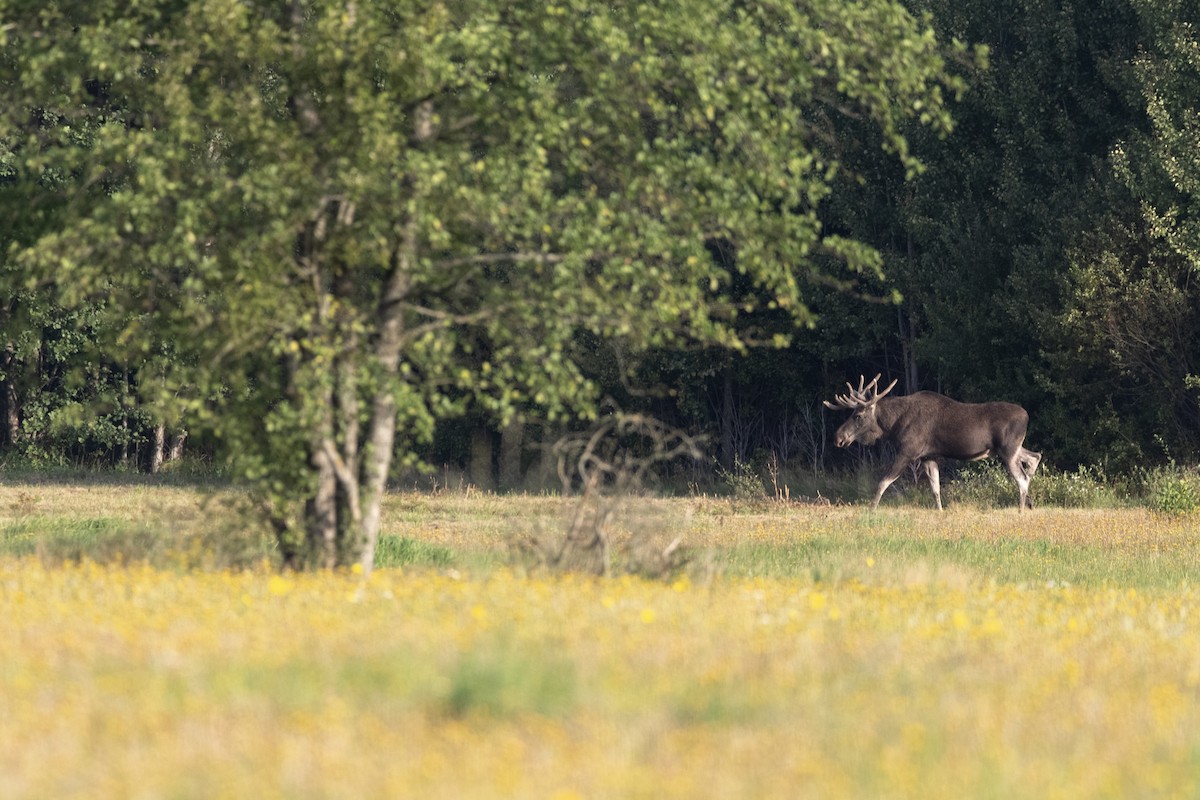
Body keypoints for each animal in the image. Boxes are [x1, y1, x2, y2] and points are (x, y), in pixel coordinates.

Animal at [823, 374, 1042, 511]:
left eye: (858, 416)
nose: (838, 438)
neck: (893, 426)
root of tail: (1027, 416)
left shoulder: (907, 451)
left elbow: (883, 481)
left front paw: (871, 510)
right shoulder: (929, 456)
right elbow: (936, 489)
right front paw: (940, 511)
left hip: (1008, 449)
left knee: (1022, 478)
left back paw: (1021, 509)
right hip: (1010, 449)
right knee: (1035, 457)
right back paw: (1030, 503)